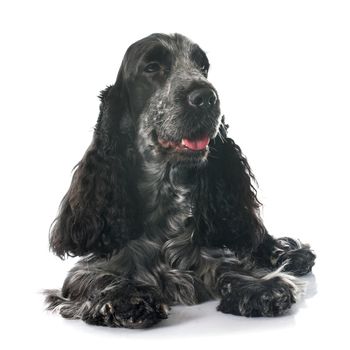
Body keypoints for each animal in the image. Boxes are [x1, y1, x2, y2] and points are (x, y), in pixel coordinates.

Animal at [45, 32, 316, 328]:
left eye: (203, 66)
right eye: (152, 67)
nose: (207, 97)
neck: (167, 194)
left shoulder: (216, 252)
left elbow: (234, 265)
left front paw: (260, 288)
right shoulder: (92, 268)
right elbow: (99, 279)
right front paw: (127, 298)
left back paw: (293, 255)